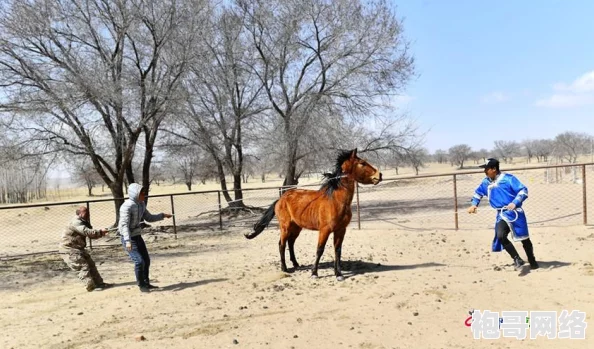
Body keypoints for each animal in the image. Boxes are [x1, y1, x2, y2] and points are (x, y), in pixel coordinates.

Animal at [243, 147, 382, 280]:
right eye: (362, 163)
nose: (379, 175)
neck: (335, 201)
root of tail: (280, 199)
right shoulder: (324, 230)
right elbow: (320, 249)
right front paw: (314, 273)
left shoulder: (341, 230)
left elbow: (338, 250)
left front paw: (338, 274)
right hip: (285, 227)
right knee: (282, 244)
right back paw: (285, 268)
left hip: (296, 227)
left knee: (291, 243)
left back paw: (296, 264)